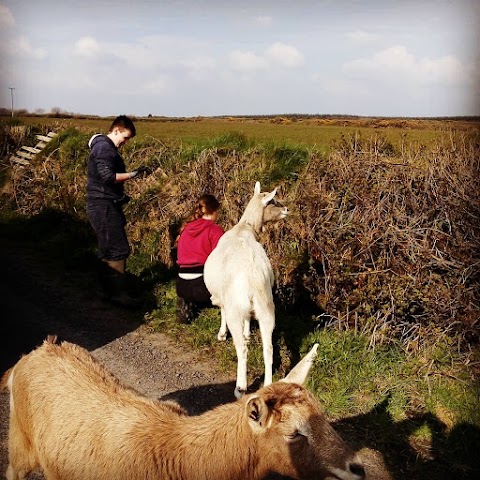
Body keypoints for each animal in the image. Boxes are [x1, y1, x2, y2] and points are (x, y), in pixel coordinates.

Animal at [203, 180, 286, 398]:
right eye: (273, 201)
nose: (286, 209)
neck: (245, 228)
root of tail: (253, 276)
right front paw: (248, 333)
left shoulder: (225, 298)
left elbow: (222, 312)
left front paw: (222, 334)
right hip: (266, 307)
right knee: (268, 348)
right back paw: (267, 384)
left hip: (237, 305)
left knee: (241, 349)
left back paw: (240, 387)